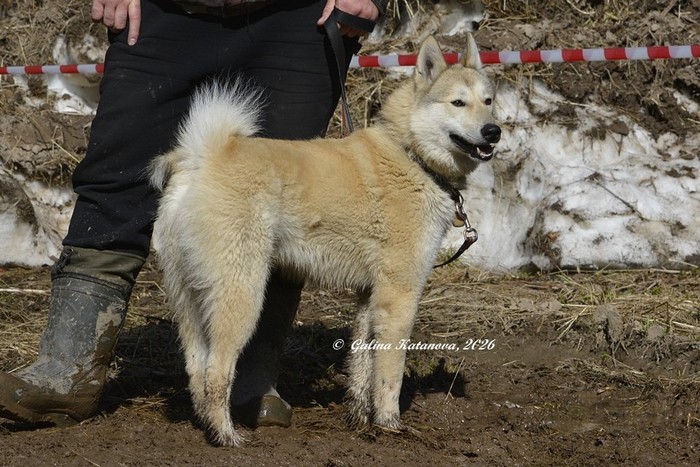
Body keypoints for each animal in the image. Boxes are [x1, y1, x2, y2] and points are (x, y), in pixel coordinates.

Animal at [149, 34, 500, 446]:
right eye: (458, 103)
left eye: (488, 101)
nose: (494, 131)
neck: (411, 154)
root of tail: (203, 158)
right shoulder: (399, 296)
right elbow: (389, 374)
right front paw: (389, 424)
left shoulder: (369, 297)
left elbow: (362, 364)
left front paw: (359, 419)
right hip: (242, 296)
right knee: (217, 372)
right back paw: (227, 436)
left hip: (189, 301)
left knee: (196, 371)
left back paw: (208, 424)